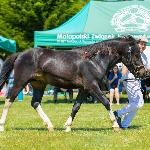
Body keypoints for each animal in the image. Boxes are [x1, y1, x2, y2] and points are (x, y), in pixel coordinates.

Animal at [0, 35, 146, 131]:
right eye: (136, 53)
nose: (143, 73)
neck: (94, 60)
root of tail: (20, 54)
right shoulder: (92, 87)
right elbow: (106, 102)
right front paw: (115, 125)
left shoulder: (84, 89)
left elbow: (76, 106)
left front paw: (67, 126)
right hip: (20, 82)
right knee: (9, 100)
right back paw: (2, 126)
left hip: (38, 85)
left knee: (35, 103)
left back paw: (50, 126)